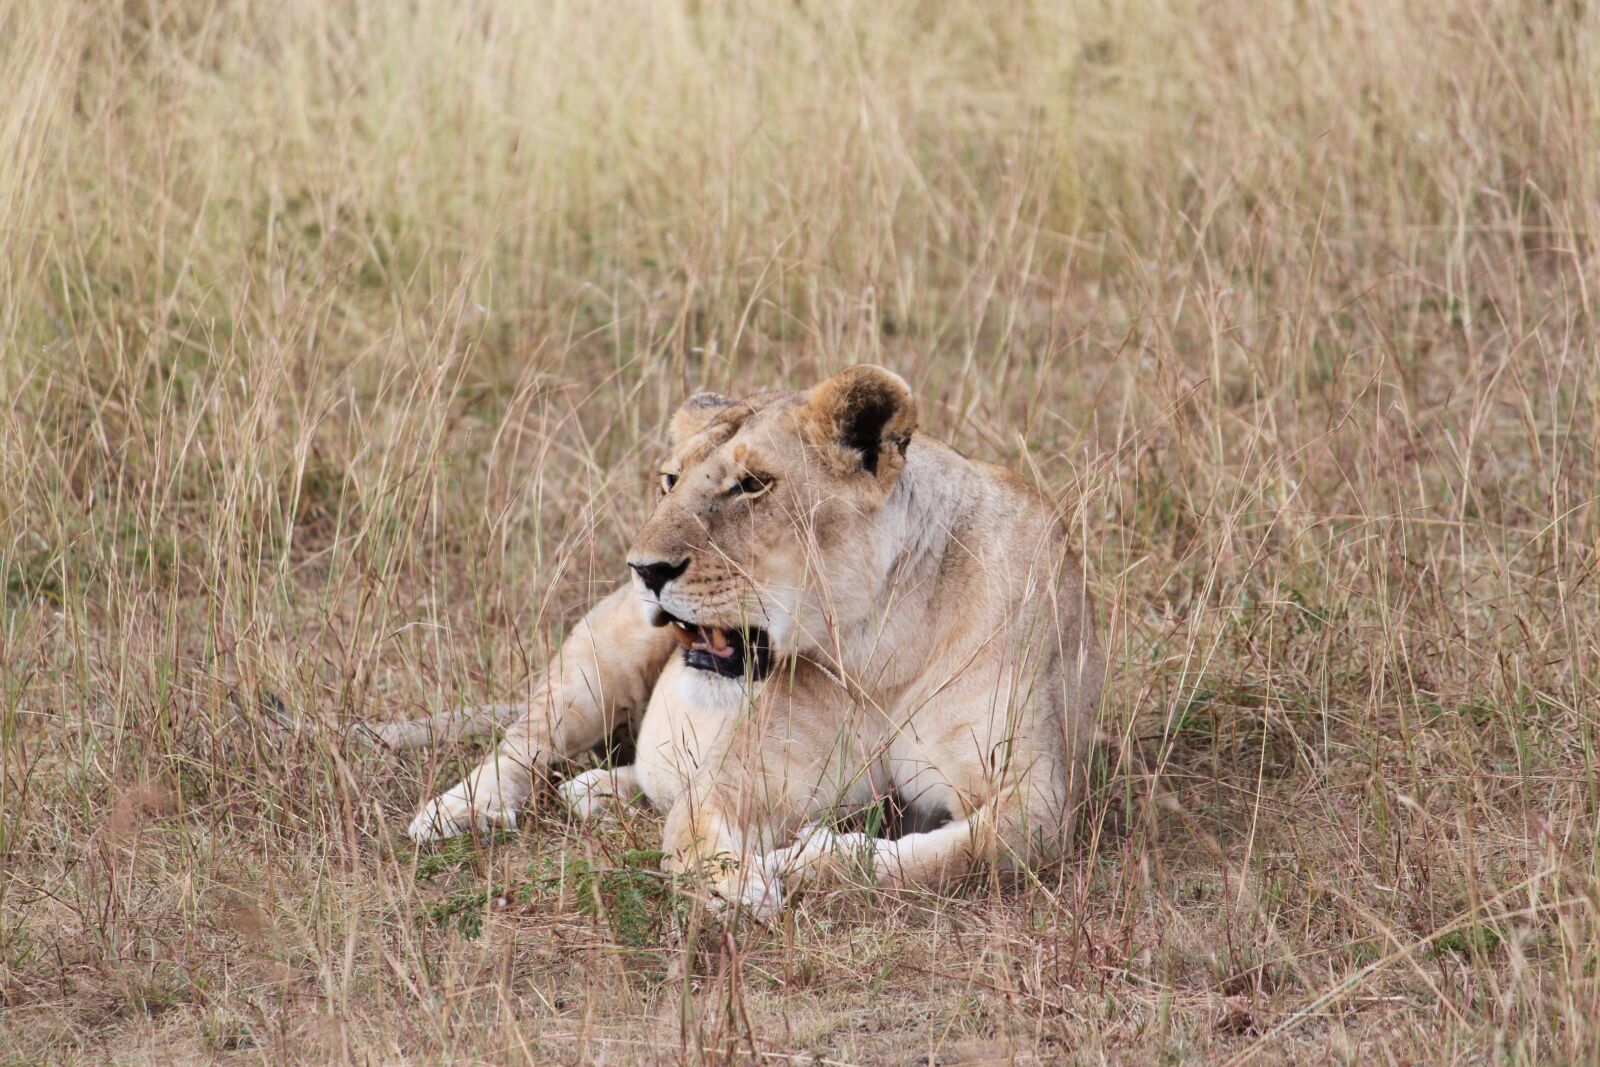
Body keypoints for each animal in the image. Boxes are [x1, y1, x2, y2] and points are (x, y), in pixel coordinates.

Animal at [398, 365, 1103, 913]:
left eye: (752, 484)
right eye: (670, 480)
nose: (645, 569)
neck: (878, 651)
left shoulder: (1042, 798)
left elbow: (967, 851)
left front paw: (810, 858)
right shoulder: (738, 780)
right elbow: (692, 836)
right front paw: (740, 887)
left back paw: (594, 791)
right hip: (599, 655)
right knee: (521, 744)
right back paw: (456, 812)